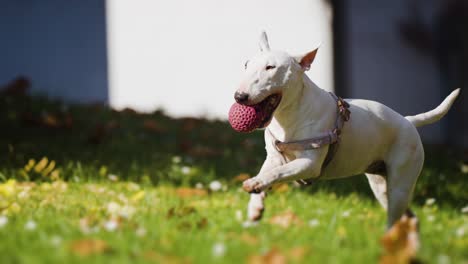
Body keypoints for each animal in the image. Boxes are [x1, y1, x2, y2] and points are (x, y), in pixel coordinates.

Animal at [238, 32, 460, 228]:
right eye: (246, 64)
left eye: (270, 67)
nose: (239, 96)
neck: (289, 115)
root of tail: (409, 122)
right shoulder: (274, 157)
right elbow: (269, 171)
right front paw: (255, 204)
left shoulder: (310, 164)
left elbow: (280, 172)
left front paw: (255, 184)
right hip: (381, 185)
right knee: (410, 217)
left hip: (400, 183)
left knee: (396, 215)